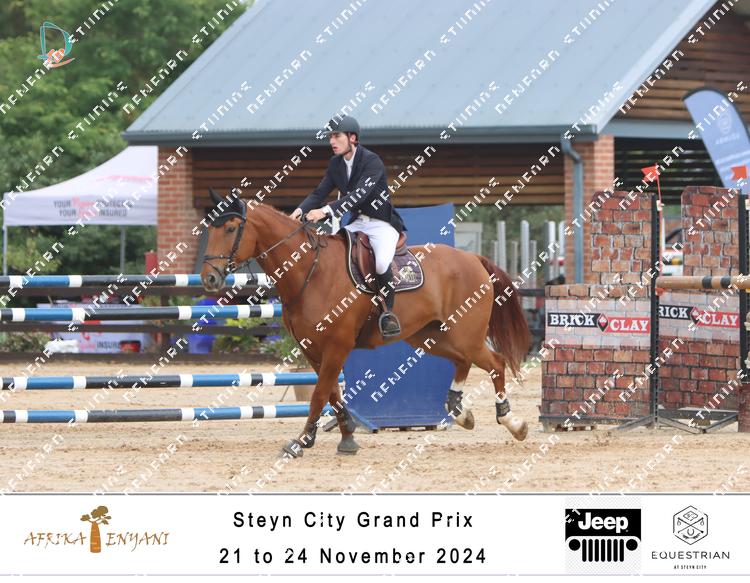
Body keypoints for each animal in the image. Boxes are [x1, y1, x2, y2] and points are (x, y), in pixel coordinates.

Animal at [200, 188, 531, 457]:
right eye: (210, 228)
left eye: (230, 228)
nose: (209, 279)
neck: (311, 271)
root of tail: (473, 258)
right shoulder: (313, 349)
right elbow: (331, 392)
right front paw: (346, 436)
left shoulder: (337, 345)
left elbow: (319, 394)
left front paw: (301, 441)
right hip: (433, 336)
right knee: (463, 362)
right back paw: (461, 412)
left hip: (464, 335)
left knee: (495, 362)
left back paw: (512, 422)